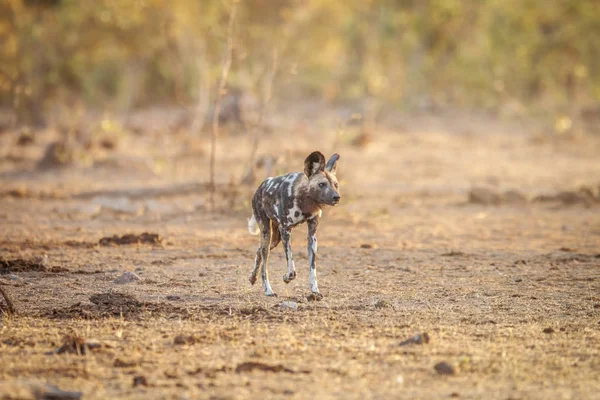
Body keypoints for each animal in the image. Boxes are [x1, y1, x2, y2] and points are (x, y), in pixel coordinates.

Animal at [248, 152, 342, 298]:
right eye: (321, 184)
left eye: (335, 185)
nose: (336, 197)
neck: (305, 200)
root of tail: (260, 186)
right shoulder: (286, 230)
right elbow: (292, 268)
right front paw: (286, 278)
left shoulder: (312, 236)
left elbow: (312, 269)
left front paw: (315, 291)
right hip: (266, 232)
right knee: (264, 261)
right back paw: (268, 290)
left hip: (274, 239)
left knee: (259, 252)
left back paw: (253, 277)